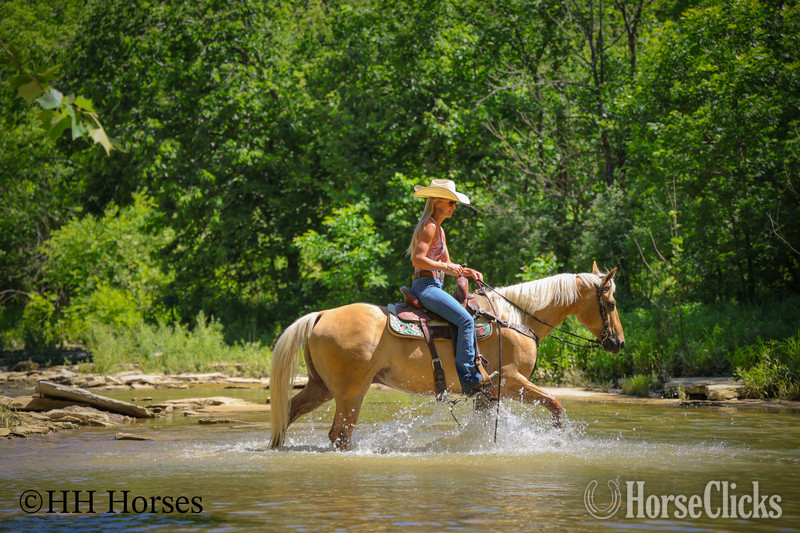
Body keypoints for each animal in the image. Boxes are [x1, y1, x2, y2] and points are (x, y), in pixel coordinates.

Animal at [268, 262, 625, 450]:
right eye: (610, 303)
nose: (619, 343)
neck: (515, 318)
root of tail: (321, 315)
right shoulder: (511, 381)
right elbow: (556, 405)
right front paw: (558, 444)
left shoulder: (487, 393)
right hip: (351, 391)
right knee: (340, 434)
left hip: (321, 387)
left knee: (288, 414)